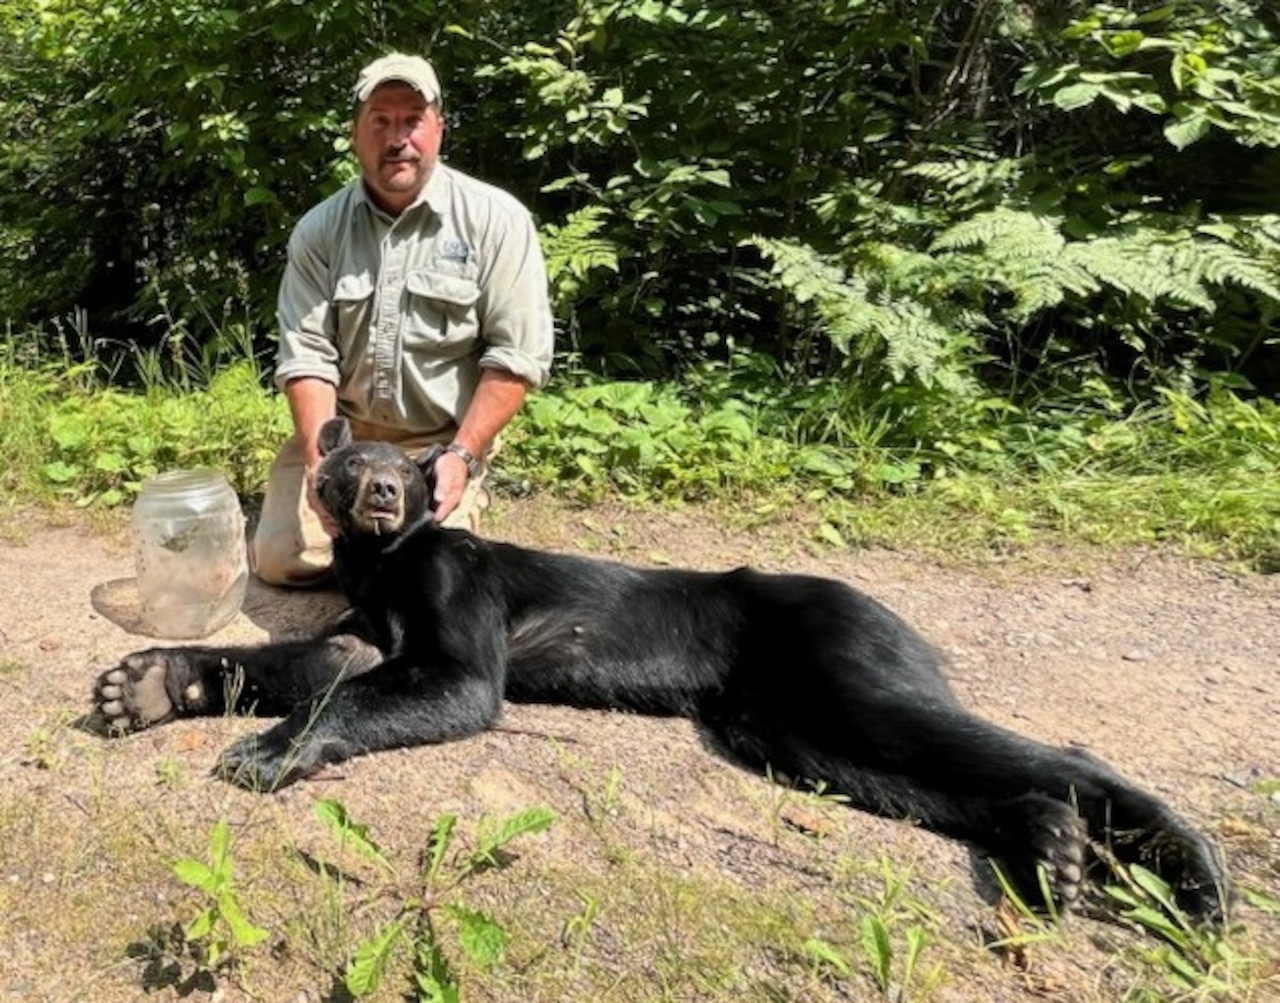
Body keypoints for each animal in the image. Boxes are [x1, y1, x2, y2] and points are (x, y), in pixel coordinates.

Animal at [94, 416, 1226, 923]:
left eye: (402, 474)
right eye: (342, 464)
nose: (375, 492)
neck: (386, 561)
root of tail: (889, 611)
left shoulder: (457, 652)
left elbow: (363, 692)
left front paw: (266, 753)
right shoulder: (365, 633)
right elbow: (298, 659)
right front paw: (143, 681)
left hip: (847, 681)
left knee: (1058, 755)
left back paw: (1191, 880)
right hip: (794, 734)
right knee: (967, 784)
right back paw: (1055, 857)